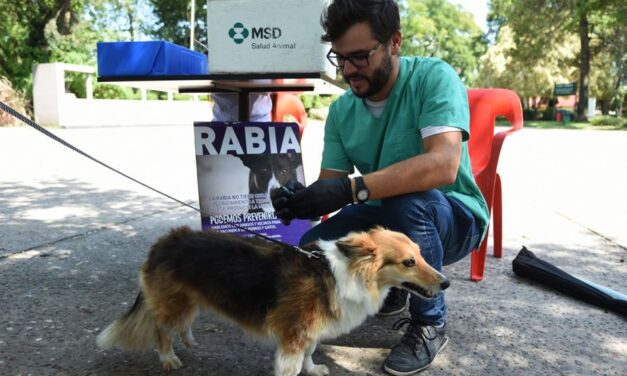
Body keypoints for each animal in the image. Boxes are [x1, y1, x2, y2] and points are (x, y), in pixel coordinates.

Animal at [98, 226, 448, 376]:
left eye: (420, 254)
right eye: (408, 263)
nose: (446, 282)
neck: (344, 274)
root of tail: (162, 243)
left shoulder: (309, 332)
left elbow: (309, 354)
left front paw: (313, 369)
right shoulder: (293, 335)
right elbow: (291, 366)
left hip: (192, 300)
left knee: (183, 324)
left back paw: (189, 340)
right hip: (175, 303)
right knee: (162, 330)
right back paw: (169, 357)